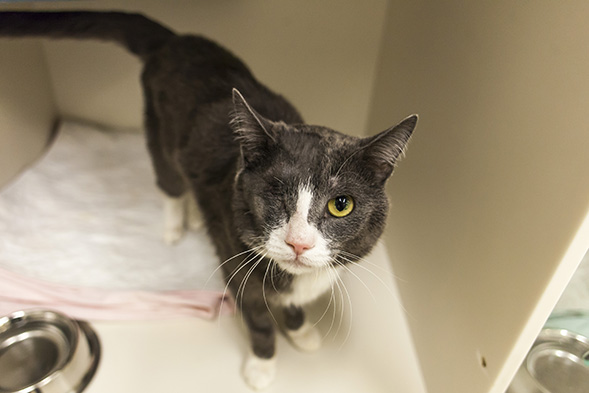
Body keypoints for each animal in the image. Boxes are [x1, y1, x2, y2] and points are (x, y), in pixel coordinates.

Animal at [0, 11, 418, 388]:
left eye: (340, 204)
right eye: (275, 192)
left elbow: (293, 306)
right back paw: (174, 227)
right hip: (159, 131)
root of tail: (176, 40)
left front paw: (302, 333)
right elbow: (259, 319)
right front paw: (262, 366)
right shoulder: (237, 265)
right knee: (170, 182)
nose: (298, 243)